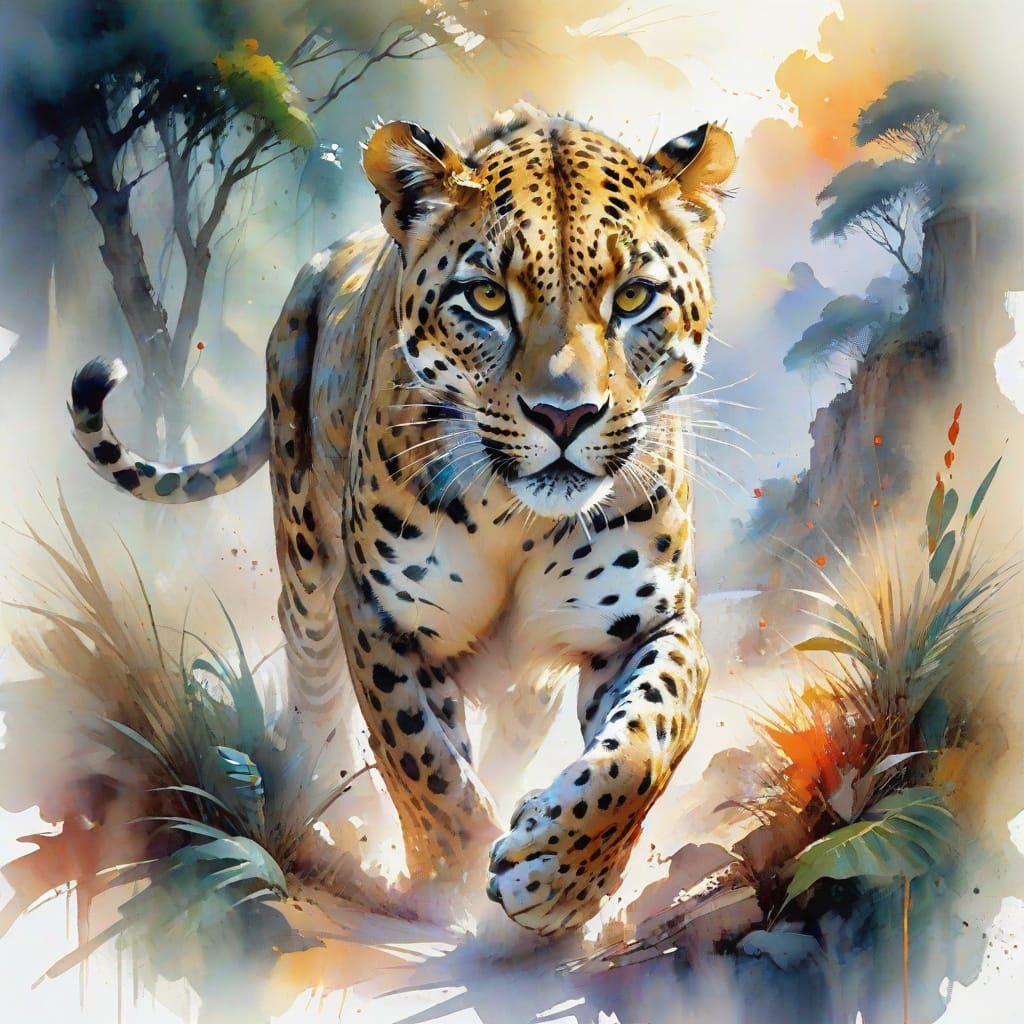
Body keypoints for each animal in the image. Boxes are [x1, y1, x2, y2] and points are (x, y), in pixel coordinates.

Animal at [68, 104, 737, 936]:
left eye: (635, 298)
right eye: (487, 299)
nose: (564, 415)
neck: (517, 516)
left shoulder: (648, 621)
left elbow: (641, 748)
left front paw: (557, 877)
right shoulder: (381, 615)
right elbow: (423, 761)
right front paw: (451, 884)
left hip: (529, 679)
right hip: (306, 562)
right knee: (314, 686)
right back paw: (326, 810)